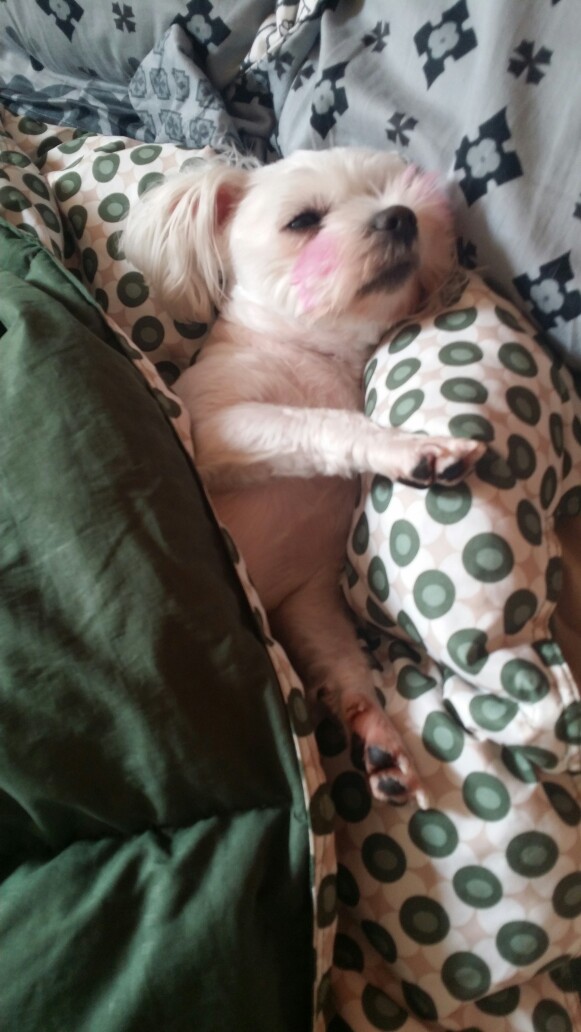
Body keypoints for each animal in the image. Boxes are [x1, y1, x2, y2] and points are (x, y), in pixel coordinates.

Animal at [123, 147, 485, 805]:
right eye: (303, 221)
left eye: (387, 188)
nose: (400, 216)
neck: (310, 354)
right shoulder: (218, 431)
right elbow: (324, 425)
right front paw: (408, 448)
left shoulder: (308, 599)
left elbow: (343, 664)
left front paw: (375, 731)